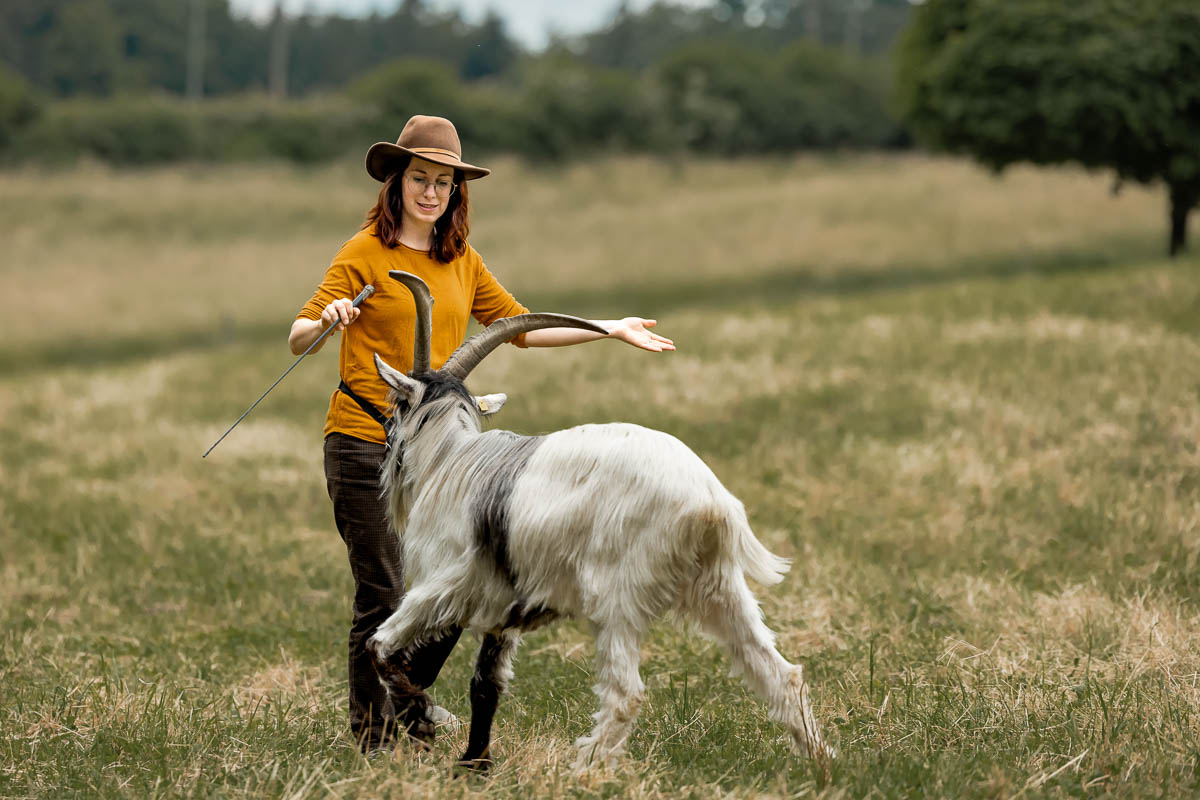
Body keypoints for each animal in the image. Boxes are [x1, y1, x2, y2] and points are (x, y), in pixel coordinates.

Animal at [364, 272, 830, 772]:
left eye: (396, 406)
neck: (450, 458)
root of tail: (711, 503)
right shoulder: (501, 608)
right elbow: (485, 685)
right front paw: (473, 766)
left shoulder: (445, 584)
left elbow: (381, 646)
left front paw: (421, 721)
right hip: (721, 588)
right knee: (783, 674)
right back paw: (823, 763)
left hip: (617, 596)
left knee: (626, 694)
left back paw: (582, 768)